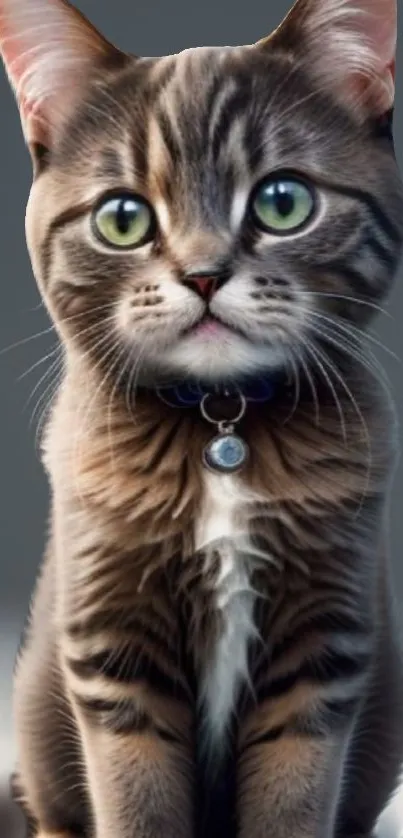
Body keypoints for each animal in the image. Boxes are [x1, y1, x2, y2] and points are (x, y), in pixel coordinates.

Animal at [0, 1, 403, 838]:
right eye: (123, 218)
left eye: (282, 201)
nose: (204, 273)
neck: (222, 425)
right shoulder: (114, 658)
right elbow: (137, 802)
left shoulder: (321, 657)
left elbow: (293, 802)